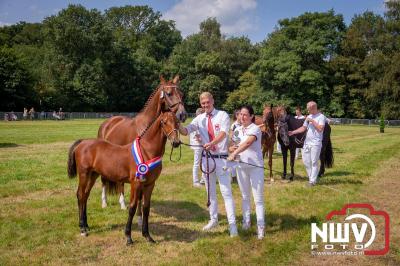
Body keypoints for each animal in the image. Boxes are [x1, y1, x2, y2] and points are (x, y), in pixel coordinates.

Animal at [68, 111, 180, 244]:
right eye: (164, 122)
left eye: (178, 121)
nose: (176, 142)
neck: (146, 151)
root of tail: (82, 142)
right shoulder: (136, 184)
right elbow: (132, 207)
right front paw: (128, 237)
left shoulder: (150, 184)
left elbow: (146, 208)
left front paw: (147, 236)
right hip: (84, 174)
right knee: (80, 195)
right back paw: (82, 228)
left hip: (93, 175)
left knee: (85, 195)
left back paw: (86, 225)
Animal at [97, 74, 187, 210]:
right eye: (169, 93)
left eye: (181, 94)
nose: (183, 115)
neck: (146, 127)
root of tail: (107, 123)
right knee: (105, 180)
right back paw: (106, 203)